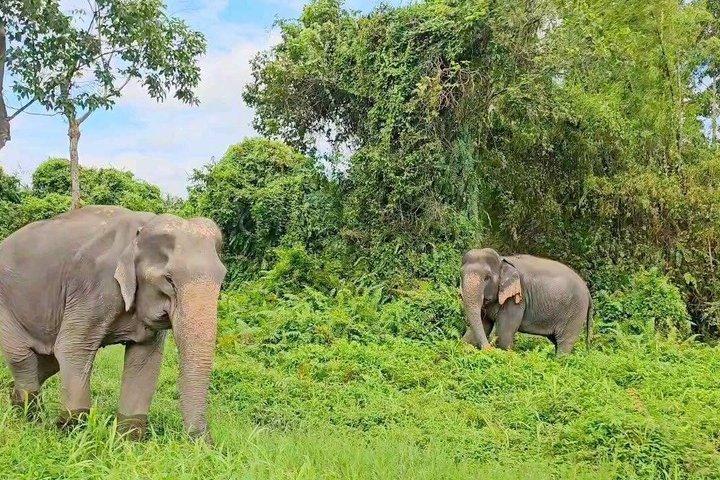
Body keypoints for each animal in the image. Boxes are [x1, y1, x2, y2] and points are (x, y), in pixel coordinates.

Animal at [0, 206, 226, 440]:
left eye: (222, 280)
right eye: (169, 280)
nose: (206, 443)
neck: (141, 229)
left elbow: (145, 360)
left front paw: (127, 441)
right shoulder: (93, 286)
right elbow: (72, 349)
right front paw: (72, 432)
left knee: (48, 360)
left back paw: (13, 400)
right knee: (22, 357)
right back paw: (29, 419)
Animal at [460, 248, 592, 355]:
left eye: (487, 278)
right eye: (461, 275)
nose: (489, 348)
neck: (502, 260)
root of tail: (587, 290)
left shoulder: (517, 299)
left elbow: (504, 335)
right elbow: (483, 326)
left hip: (576, 311)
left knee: (565, 342)